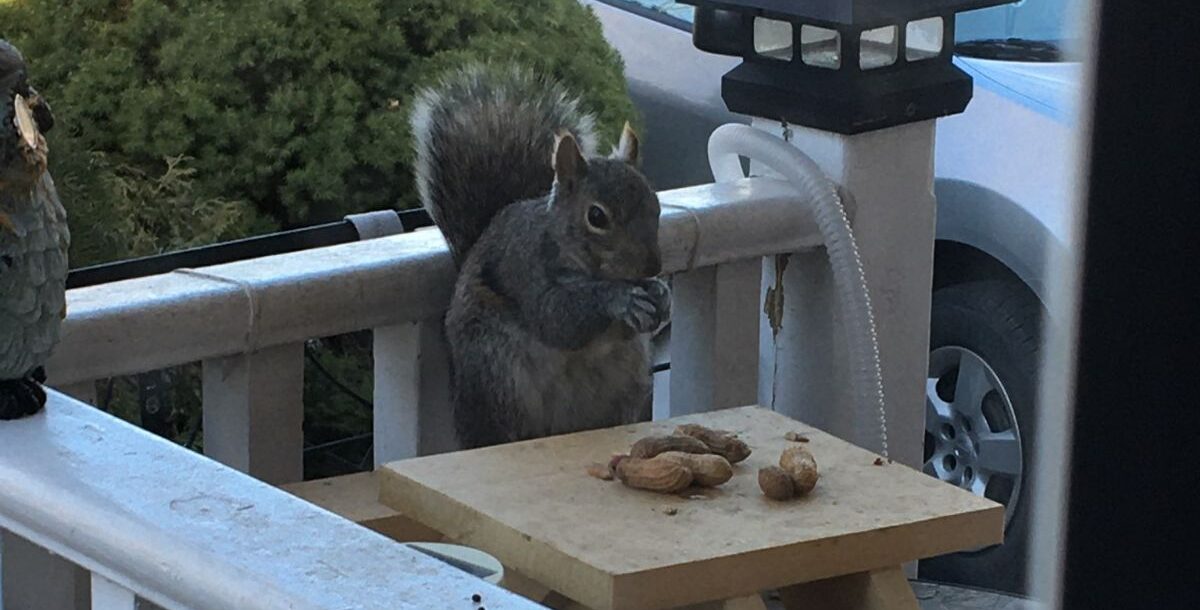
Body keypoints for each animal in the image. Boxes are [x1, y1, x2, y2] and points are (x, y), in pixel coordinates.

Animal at [410, 64, 669, 449]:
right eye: (596, 216)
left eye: (655, 203)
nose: (653, 265)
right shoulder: (525, 271)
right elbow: (557, 318)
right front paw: (620, 298)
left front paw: (661, 295)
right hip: (497, 374)